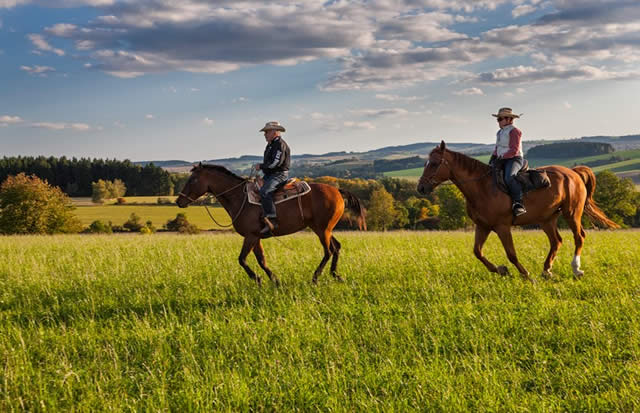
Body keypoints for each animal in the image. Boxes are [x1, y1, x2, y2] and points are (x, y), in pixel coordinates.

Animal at [175, 163, 364, 284]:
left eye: (192, 180)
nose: (178, 201)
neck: (240, 197)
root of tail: (337, 190)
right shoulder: (256, 237)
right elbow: (261, 260)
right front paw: (274, 280)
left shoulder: (250, 236)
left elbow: (242, 259)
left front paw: (258, 279)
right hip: (324, 228)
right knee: (336, 247)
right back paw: (336, 275)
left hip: (322, 229)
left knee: (328, 251)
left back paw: (315, 278)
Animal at [416, 141, 620, 280]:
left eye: (434, 163)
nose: (421, 188)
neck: (482, 187)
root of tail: (573, 173)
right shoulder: (483, 226)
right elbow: (477, 252)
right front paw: (500, 270)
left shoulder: (502, 227)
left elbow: (511, 254)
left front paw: (525, 274)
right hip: (547, 219)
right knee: (556, 241)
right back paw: (547, 270)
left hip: (572, 213)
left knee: (579, 237)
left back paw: (576, 269)